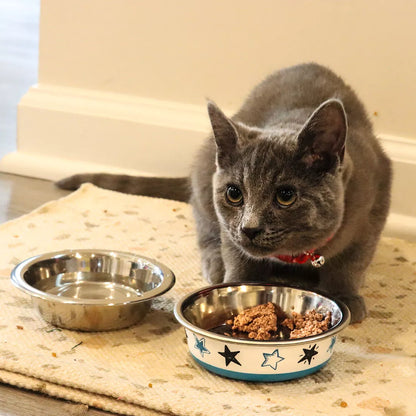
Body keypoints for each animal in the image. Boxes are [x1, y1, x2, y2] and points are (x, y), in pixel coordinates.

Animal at [57, 63, 392, 322]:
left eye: (286, 196)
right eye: (234, 193)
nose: (250, 228)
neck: (291, 256)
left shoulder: (373, 207)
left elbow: (352, 262)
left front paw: (345, 296)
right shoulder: (229, 228)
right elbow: (236, 256)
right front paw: (235, 289)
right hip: (205, 173)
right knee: (203, 221)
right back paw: (214, 263)